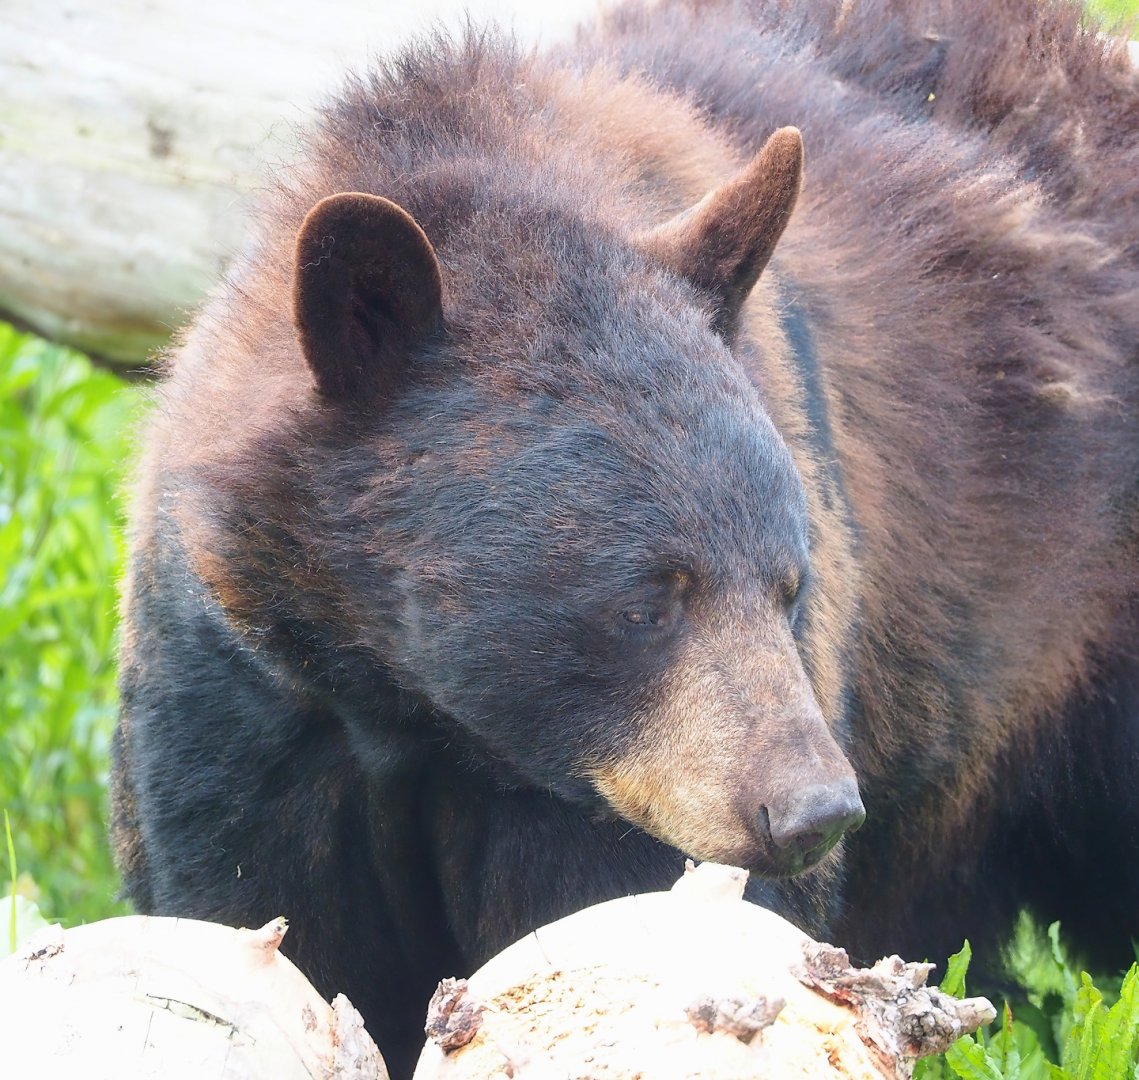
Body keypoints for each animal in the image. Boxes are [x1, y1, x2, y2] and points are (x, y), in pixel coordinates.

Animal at [111, 0, 1139, 1076]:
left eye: (789, 583)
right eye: (644, 599)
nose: (811, 810)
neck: (421, 711)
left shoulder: (618, 798)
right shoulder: (251, 697)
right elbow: (268, 913)